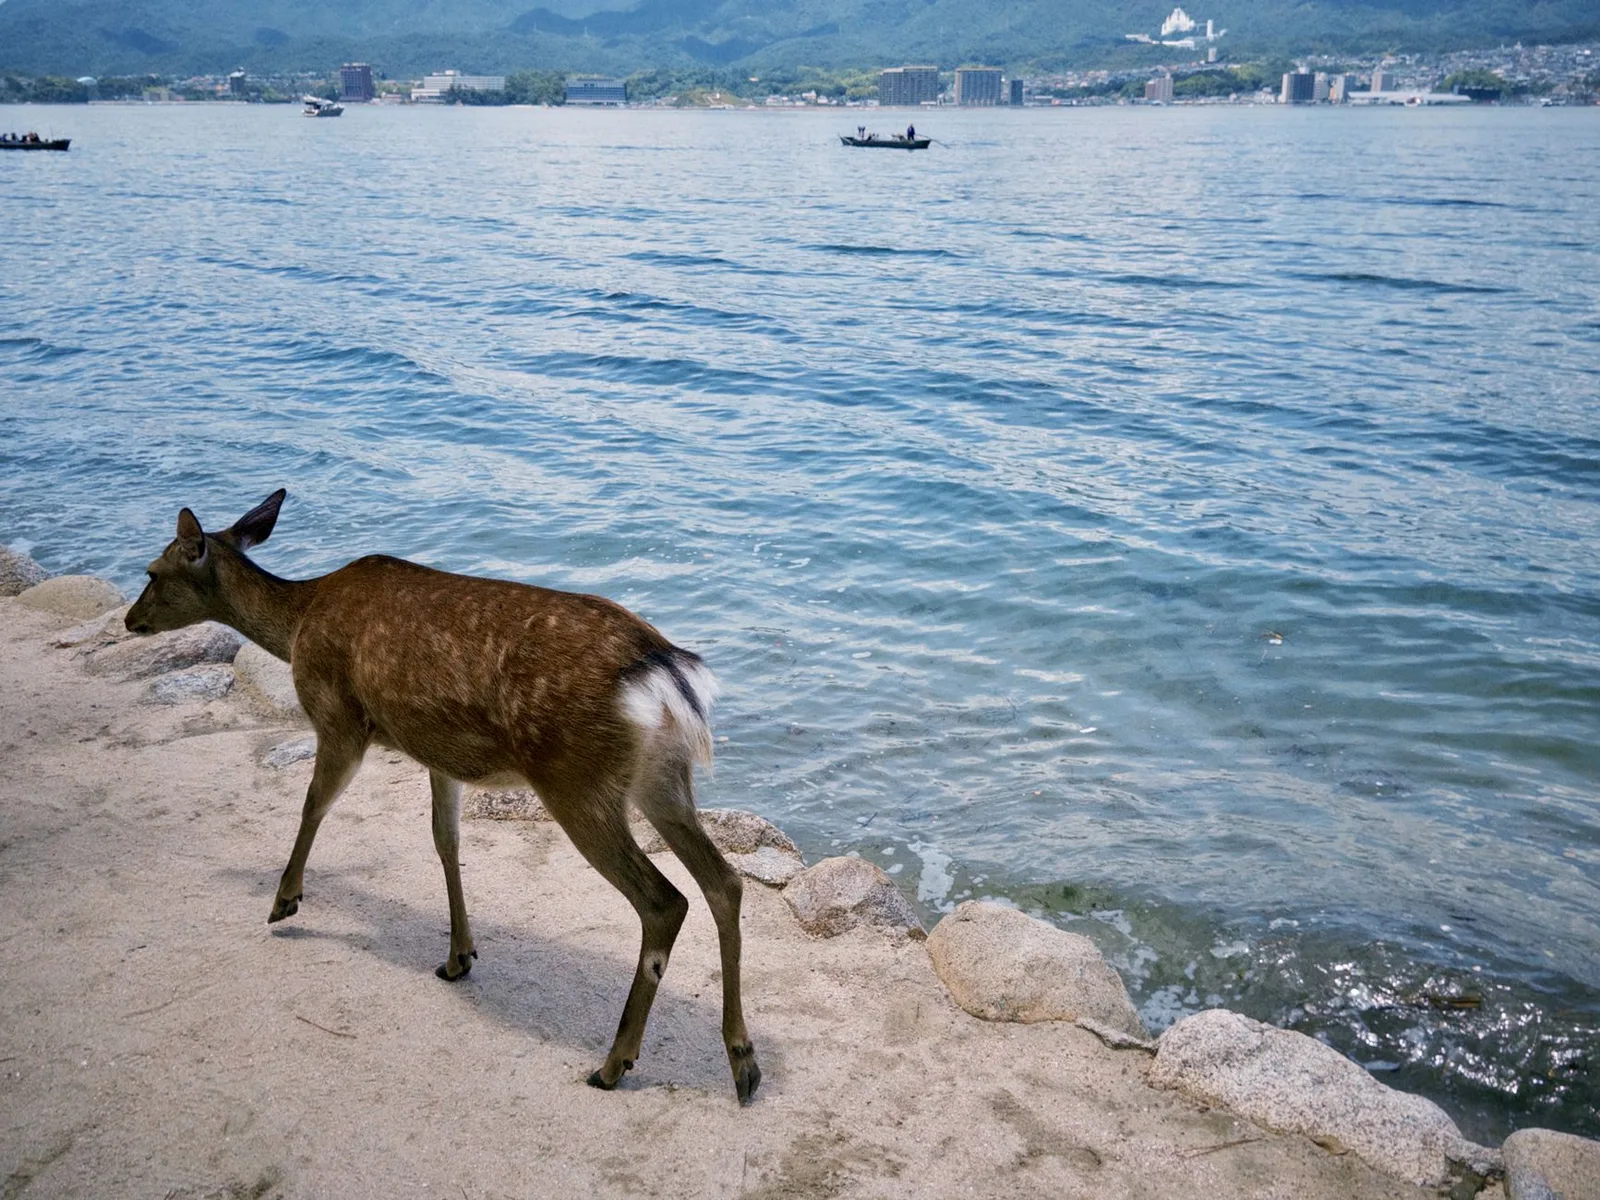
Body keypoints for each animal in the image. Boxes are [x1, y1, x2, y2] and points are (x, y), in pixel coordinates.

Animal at [124, 489, 760, 1104]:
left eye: (152, 571)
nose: (131, 621)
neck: (298, 623)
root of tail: (664, 673)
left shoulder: (339, 718)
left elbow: (312, 804)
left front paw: (285, 901)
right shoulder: (436, 752)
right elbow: (445, 840)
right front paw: (459, 956)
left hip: (577, 780)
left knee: (664, 900)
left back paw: (614, 1063)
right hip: (662, 778)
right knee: (724, 882)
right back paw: (743, 1063)